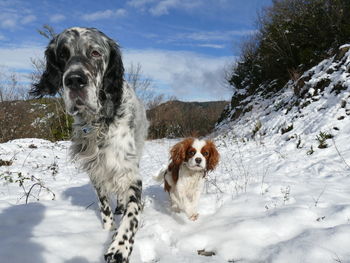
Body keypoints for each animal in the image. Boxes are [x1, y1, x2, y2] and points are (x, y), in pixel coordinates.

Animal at [30, 27, 148, 263]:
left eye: (95, 52)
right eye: (63, 54)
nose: (75, 80)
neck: (97, 123)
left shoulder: (129, 173)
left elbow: (132, 214)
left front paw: (120, 247)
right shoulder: (96, 171)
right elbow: (104, 208)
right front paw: (107, 231)